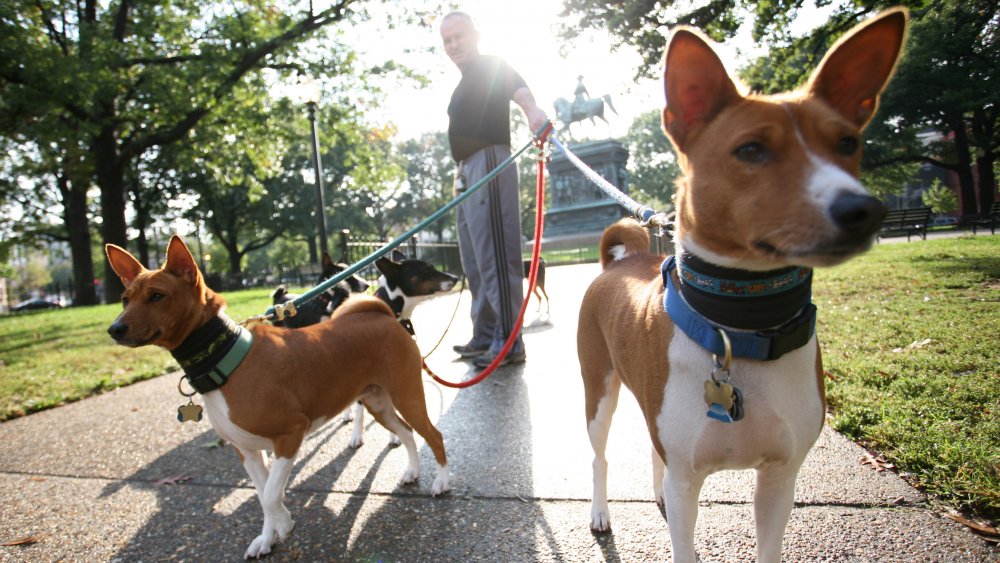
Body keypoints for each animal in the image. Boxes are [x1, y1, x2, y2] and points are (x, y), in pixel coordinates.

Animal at [105, 237, 450, 560]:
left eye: (157, 296)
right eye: (125, 299)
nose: (114, 329)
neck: (224, 358)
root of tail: (383, 315)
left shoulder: (290, 434)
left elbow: (272, 496)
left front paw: (283, 524)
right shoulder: (247, 451)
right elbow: (263, 496)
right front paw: (267, 539)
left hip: (406, 395)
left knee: (433, 435)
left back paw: (441, 482)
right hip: (378, 403)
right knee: (407, 433)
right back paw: (412, 472)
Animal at [576, 9, 912, 563]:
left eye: (847, 143)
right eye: (751, 150)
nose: (864, 210)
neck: (740, 327)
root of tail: (622, 261)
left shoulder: (780, 478)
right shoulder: (688, 479)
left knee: (652, 450)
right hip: (598, 391)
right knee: (600, 457)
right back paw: (601, 511)